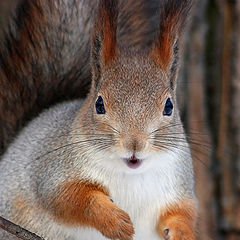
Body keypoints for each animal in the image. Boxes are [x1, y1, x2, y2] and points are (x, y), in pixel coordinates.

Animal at [0, 0, 197, 240]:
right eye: (99, 104)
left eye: (169, 106)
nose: (134, 144)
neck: (131, 174)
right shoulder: (53, 171)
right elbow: (72, 199)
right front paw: (116, 222)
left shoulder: (179, 188)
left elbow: (182, 214)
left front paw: (183, 233)